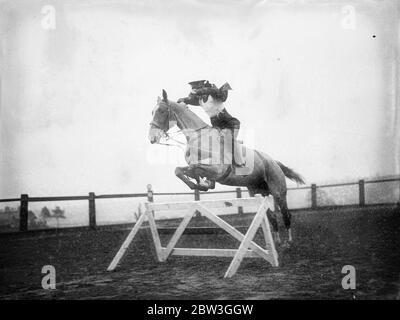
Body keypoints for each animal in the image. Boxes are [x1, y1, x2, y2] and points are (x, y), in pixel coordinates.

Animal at [148, 90, 304, 242]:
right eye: (152, 112)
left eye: (162, 111)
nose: (151, 138)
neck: (198, 137)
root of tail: (273, 161)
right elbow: (179, 170)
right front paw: (198, 184)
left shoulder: (218, 169)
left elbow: (194, 168)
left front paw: (202, 184)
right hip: (257, 191)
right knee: (272, 216)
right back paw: (277, 241)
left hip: (278, 192)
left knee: (286, 214)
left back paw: (289, 242)